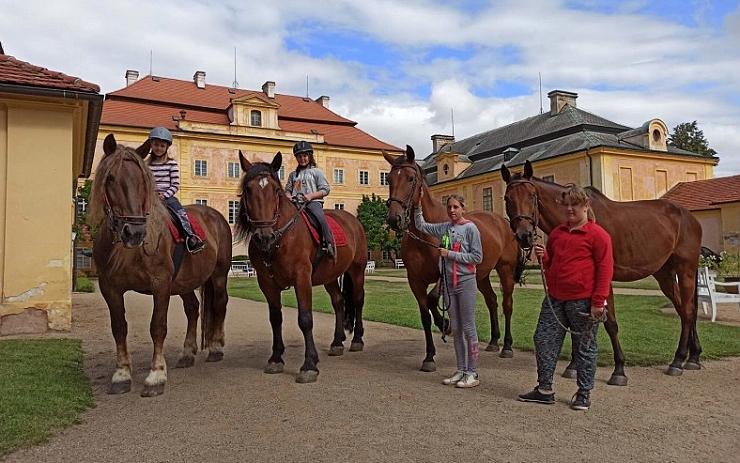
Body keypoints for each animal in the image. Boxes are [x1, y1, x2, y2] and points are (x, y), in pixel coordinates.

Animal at [90, 134, 234, 398]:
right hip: (186, 281)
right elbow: (119, 327)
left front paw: (156, 376)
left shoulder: (160, 285)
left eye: (142, 180)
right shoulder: (110, 288)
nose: (134, 232)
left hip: (219, 275)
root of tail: (215, 215)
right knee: (193, 309)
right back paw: (187, 353)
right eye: (111, 178)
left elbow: (158, 326)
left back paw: (216, 348)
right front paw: (121, 375)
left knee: (219, 304)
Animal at [234, 152, 368, 384]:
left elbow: (305, 319)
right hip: (330, 277)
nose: (264, 237)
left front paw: (309, 364)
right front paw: (276, 358)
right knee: (338, 302)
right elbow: (275, 318)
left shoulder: (301, 278)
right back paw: (337, 342)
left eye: (275, 190)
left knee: (358, 300)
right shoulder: (266, 283)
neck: (280, 239)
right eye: (248, 189)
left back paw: (357, 340)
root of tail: (353, 221)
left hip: (357, 270)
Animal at [384, 147, 524, 372]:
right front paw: (429, 356)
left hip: (505, 270)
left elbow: (433, 299)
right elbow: (425, 315)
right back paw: (494, 341)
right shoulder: (415, 281)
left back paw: (507, 346)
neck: (426, 234)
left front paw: (445, 325)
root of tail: (503, 222)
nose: (394, 219)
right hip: (481, 275)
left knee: (507, 304)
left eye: (410, 178)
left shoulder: (444, 274)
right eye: (388, 179)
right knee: (492, 301)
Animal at [500, 161, 704, 382]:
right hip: (664, 274)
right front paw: (573, 366)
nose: (525, 236)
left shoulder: (603, 282)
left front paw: (619, 369)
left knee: (688, 310)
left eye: (532, 196)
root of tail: (689, 217)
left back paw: (678, 360)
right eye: (507, 199)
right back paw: (693, 357)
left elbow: (610, 323)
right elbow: (575, 323)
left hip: (686, 270)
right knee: (683, 309)